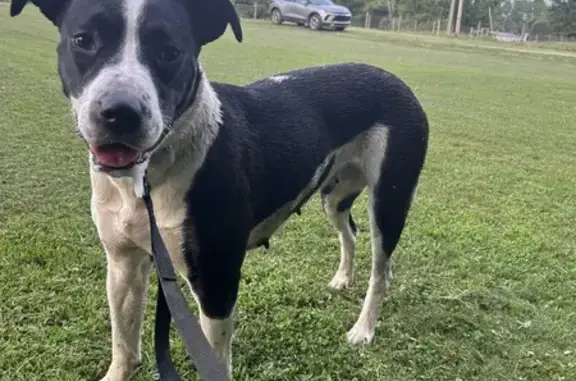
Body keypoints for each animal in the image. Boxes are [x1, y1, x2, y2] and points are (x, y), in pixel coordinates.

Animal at [9, 0, 428, 378]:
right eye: (83, 40)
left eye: (169, 52)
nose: (120, 112)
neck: (149, 177)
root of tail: (394, 79)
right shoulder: (123, 264)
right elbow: (124, 346)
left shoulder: (216, 284)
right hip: (335, 194)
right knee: (350, 232)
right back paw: (343, 279)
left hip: (389, 199)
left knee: (381, 269)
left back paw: (363, 329)